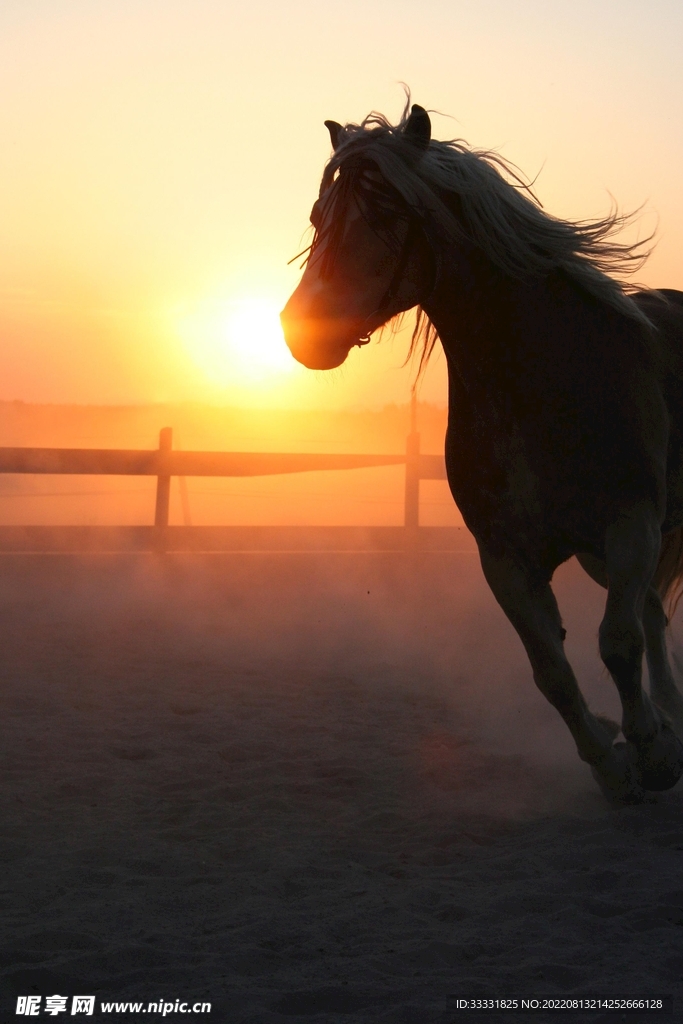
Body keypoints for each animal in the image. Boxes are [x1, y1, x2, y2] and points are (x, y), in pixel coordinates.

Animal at [280, 100, 683, 804]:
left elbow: (617, 641)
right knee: (655, 613)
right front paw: (614, 757)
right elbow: (552, 670)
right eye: (318, 217)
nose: (302, 328)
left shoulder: (630, 523)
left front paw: (651, 751)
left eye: (387, 213)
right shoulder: (507, 558)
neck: (536, 383)